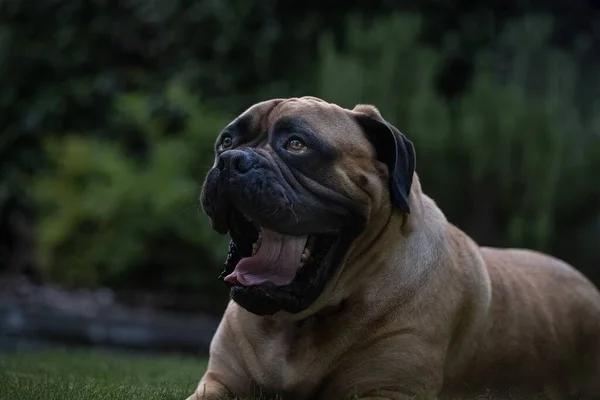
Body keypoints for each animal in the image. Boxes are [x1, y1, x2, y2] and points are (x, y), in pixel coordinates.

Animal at [189, 97, 600, 400]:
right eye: (226, 141)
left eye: (296, 145)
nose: (230, 160)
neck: (298, 325)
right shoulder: (219, 381)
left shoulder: (388, 391)